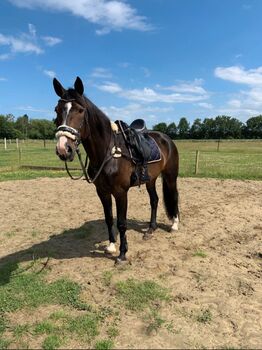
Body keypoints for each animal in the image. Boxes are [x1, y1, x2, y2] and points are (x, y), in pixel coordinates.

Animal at [53, 76, 180, 262]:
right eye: (56, 110)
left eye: (80, 110)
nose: (63, 149)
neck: (109, 152)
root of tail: (166, 139)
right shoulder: (102, 192)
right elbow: (108, 219)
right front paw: (112, 246)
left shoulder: (120, 192)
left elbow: (121, 222)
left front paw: (122, 254)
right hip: (151, 179)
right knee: (154, 200)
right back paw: (150, 229)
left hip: (170, 176)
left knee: (174, 196)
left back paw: (175, 225)